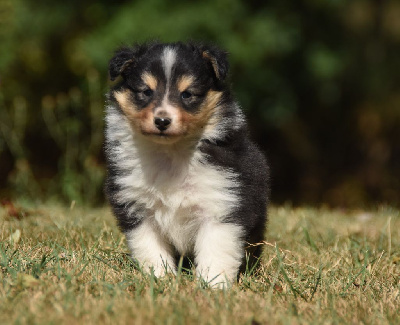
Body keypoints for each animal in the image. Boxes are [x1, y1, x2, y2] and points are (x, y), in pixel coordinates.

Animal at [104, 41, 270, 288]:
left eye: (187, 94)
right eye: (146, 92)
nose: (162, 121)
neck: (171, 153)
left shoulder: (221, 204)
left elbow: (216, 251)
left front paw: (212, 286)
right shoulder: (137, 207)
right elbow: (150, 249)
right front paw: (159, 279)